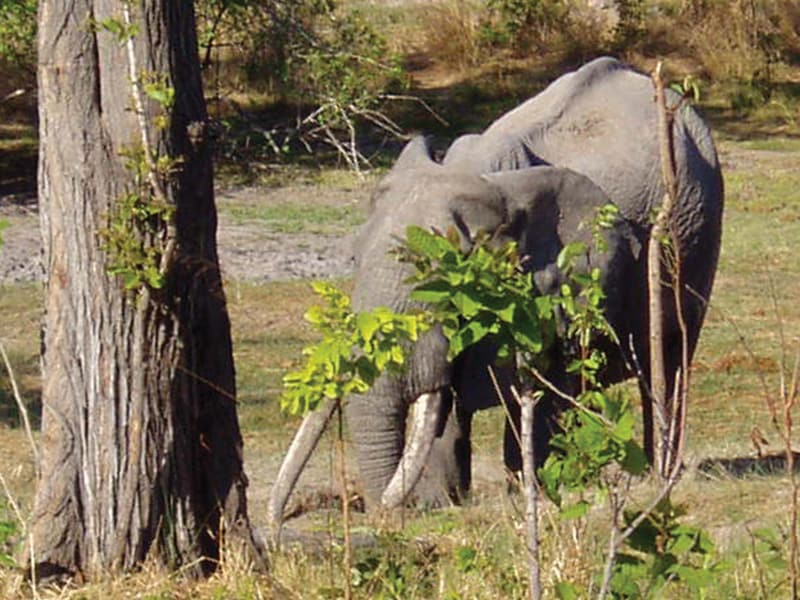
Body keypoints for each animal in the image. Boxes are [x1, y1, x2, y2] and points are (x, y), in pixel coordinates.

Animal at [268, 57, 723, 522]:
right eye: (354, 260)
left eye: (446, 286)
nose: (282, 515)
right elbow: (448, 395)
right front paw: (444, 502)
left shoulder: (570, 276)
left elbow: (544, 380)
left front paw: (533, 492)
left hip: (694, 236)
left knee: (669, 359)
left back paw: (656, 474)